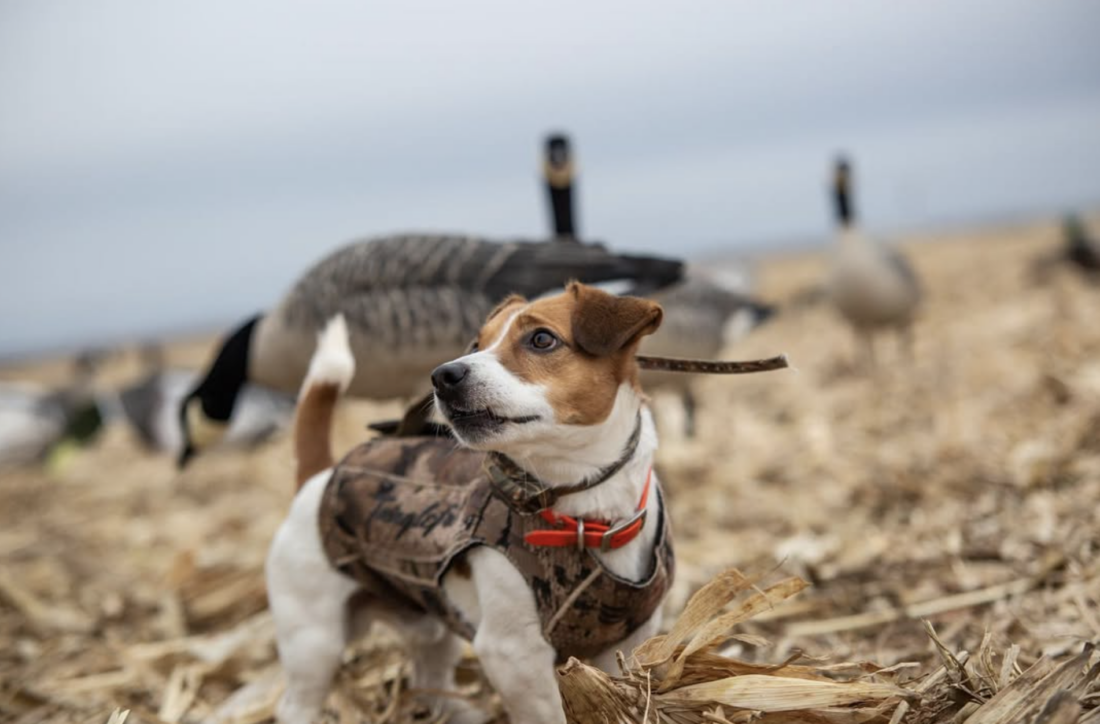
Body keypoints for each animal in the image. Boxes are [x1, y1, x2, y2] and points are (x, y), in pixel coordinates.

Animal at [268, 281, 668, 721]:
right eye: (477, 344)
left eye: (541, 339)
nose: (443, 375)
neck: (583, 513)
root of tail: (321, 475)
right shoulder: (512, 655)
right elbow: (547, 713)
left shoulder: (630, 640)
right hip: (313, 641)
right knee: (297, 703)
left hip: (432, 622)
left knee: (429, 677)